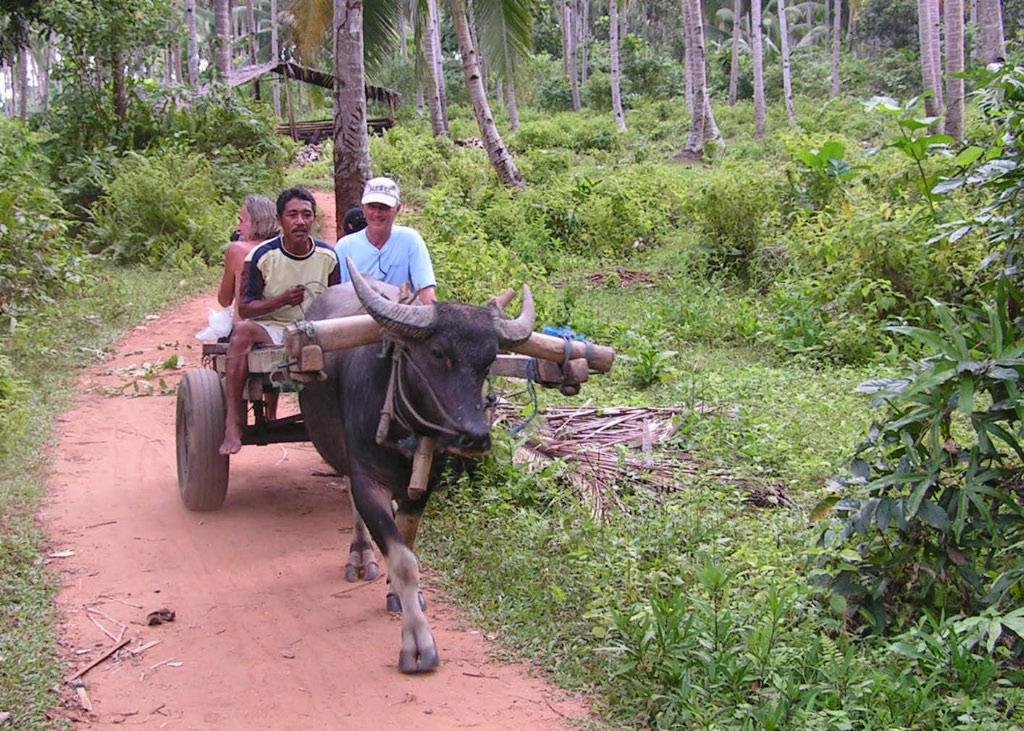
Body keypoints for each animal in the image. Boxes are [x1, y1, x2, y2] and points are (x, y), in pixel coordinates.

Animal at [299, 258, 532, 671]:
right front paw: (418, 644)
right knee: (350, 499)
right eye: (437, 353)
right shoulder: (366, 478)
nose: (476, 436)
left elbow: (406, 540)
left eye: (490, 360)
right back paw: (360, 555)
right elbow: (402, 559)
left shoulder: (425, 482)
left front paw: (396, 594)